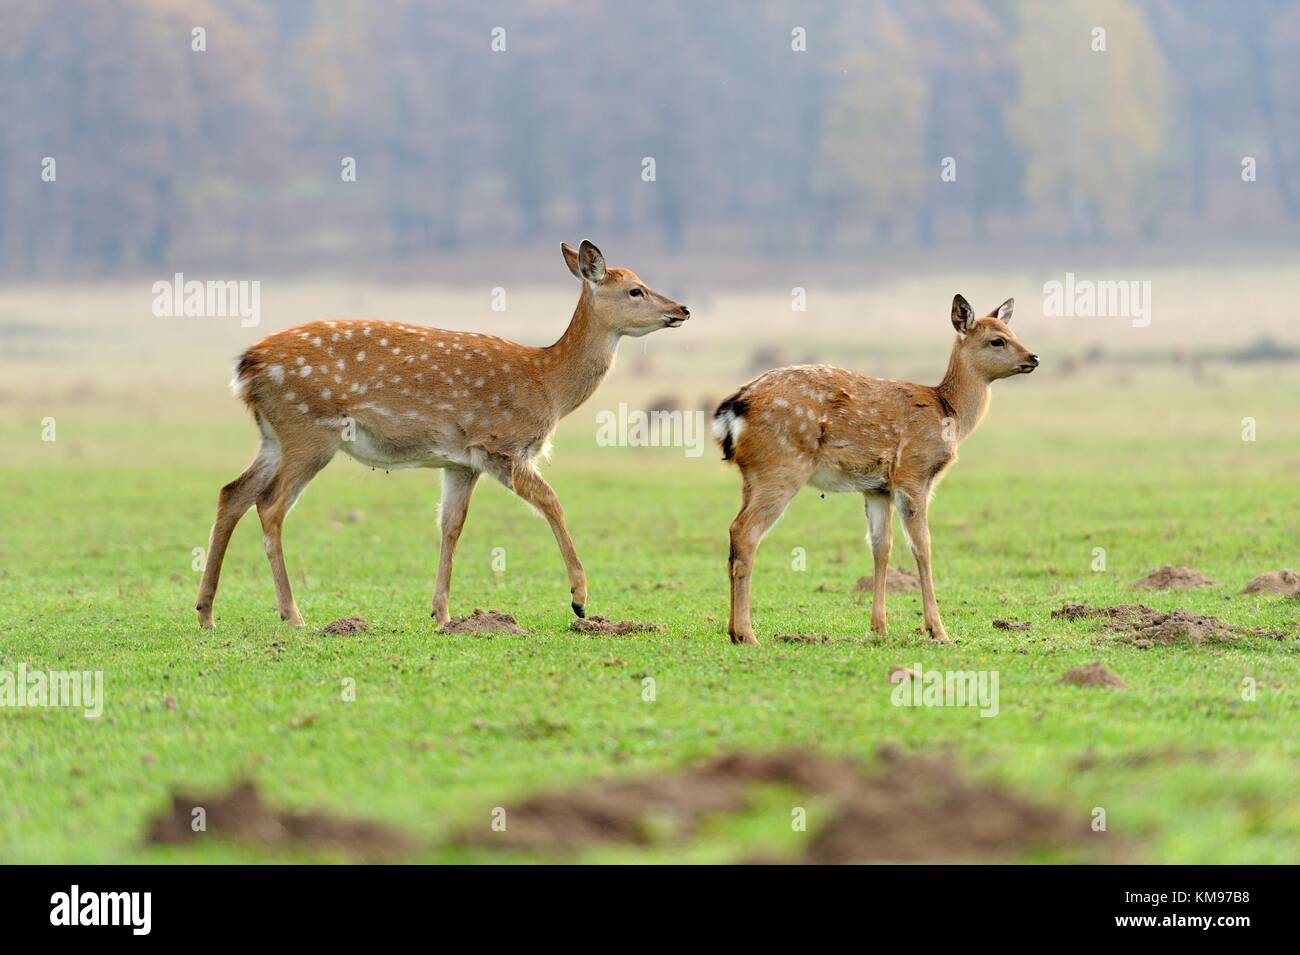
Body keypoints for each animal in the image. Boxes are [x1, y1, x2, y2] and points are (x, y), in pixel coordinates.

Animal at [195, 239, 691, 628]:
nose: (682, 309)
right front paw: (580, 600)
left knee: (231, 492)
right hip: (309, 430)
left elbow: (451, 525)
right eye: (634, 289)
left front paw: (442, 614)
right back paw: (293, 615)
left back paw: (206, 612)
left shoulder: (460, 462)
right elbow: (552, 502)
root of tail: (247, 367)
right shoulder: (500, 445)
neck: (547, 384)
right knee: (270, 504)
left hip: (273, 435)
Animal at [712, 294, 1034, 647]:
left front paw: (879, 627)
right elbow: (923, 546)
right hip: (780, 467)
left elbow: (881, 547)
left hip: (751, 475)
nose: (1033, 357)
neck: (949, 413)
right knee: (745, 532)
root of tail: (734, 408)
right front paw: (938, 631)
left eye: (1013, 332)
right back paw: (748, 634)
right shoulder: (913, 474)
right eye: (997, 340)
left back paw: (733, 631)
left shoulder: (877, 488)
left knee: (733, 533)